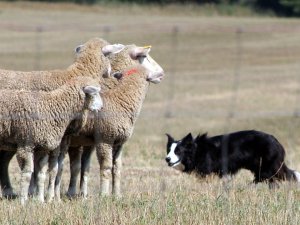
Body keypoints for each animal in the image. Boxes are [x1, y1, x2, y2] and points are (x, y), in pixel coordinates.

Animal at [0, 75, 102, 204]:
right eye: (95, 93)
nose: (101, 107)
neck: (52, 107)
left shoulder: (42, 147)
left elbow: (41, 175)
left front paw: (40, 201)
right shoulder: (26, 144)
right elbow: (27, 174)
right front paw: (23, 201)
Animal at [165, 130, 300, 185]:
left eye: (178, 151)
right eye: (169, 150)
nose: (167, 159)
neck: (197, 151)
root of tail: (276, 142)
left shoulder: (208, 172)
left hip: (267, 167)